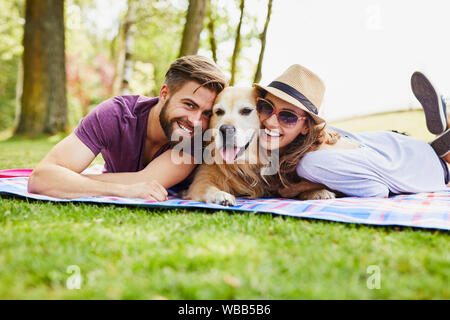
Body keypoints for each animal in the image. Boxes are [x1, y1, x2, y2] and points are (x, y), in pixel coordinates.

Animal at [183, 87, 334, 205]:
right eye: (219, 112)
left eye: (246, 111)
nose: (225, 129)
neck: (243, 164)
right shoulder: (201, 181)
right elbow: (209, 188)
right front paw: (221, 195)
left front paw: (316, 191)